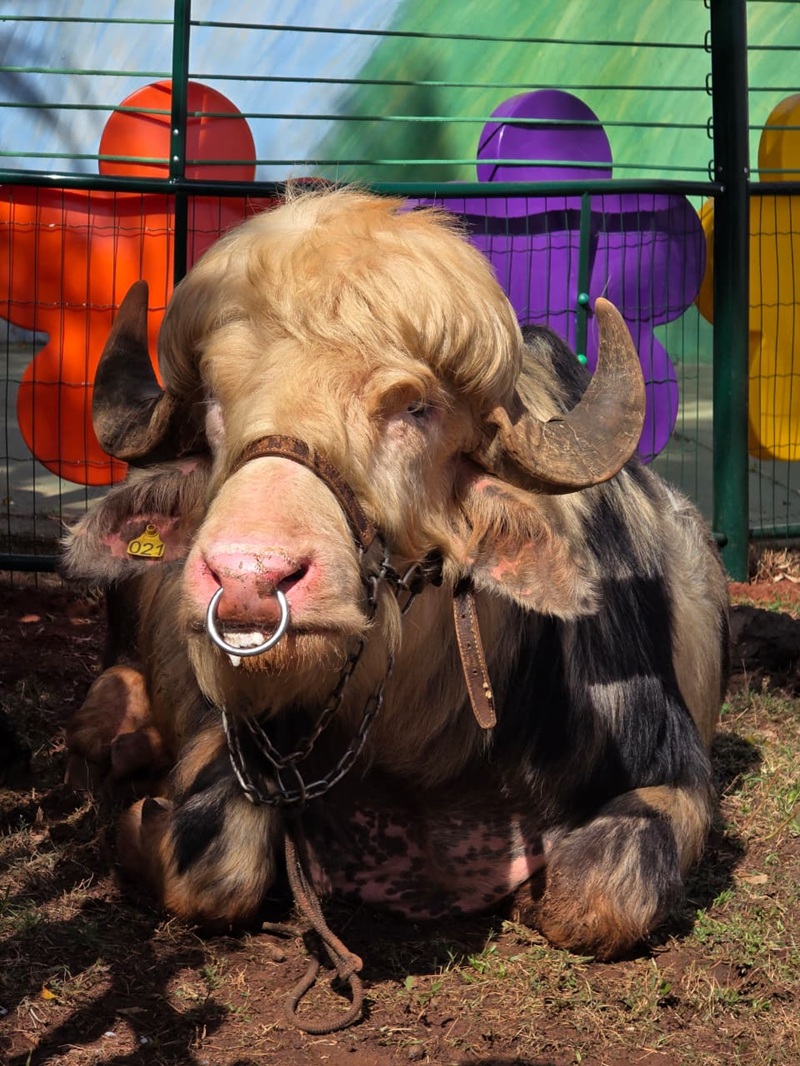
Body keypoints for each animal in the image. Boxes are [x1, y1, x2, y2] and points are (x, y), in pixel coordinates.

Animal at [63, 187, 729, 1025]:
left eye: (414, 408)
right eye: (214, 405)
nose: (248, 577)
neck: (423, 736)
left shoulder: (675, 772)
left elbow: (599, 891)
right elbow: (214, 863)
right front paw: (135, 821)